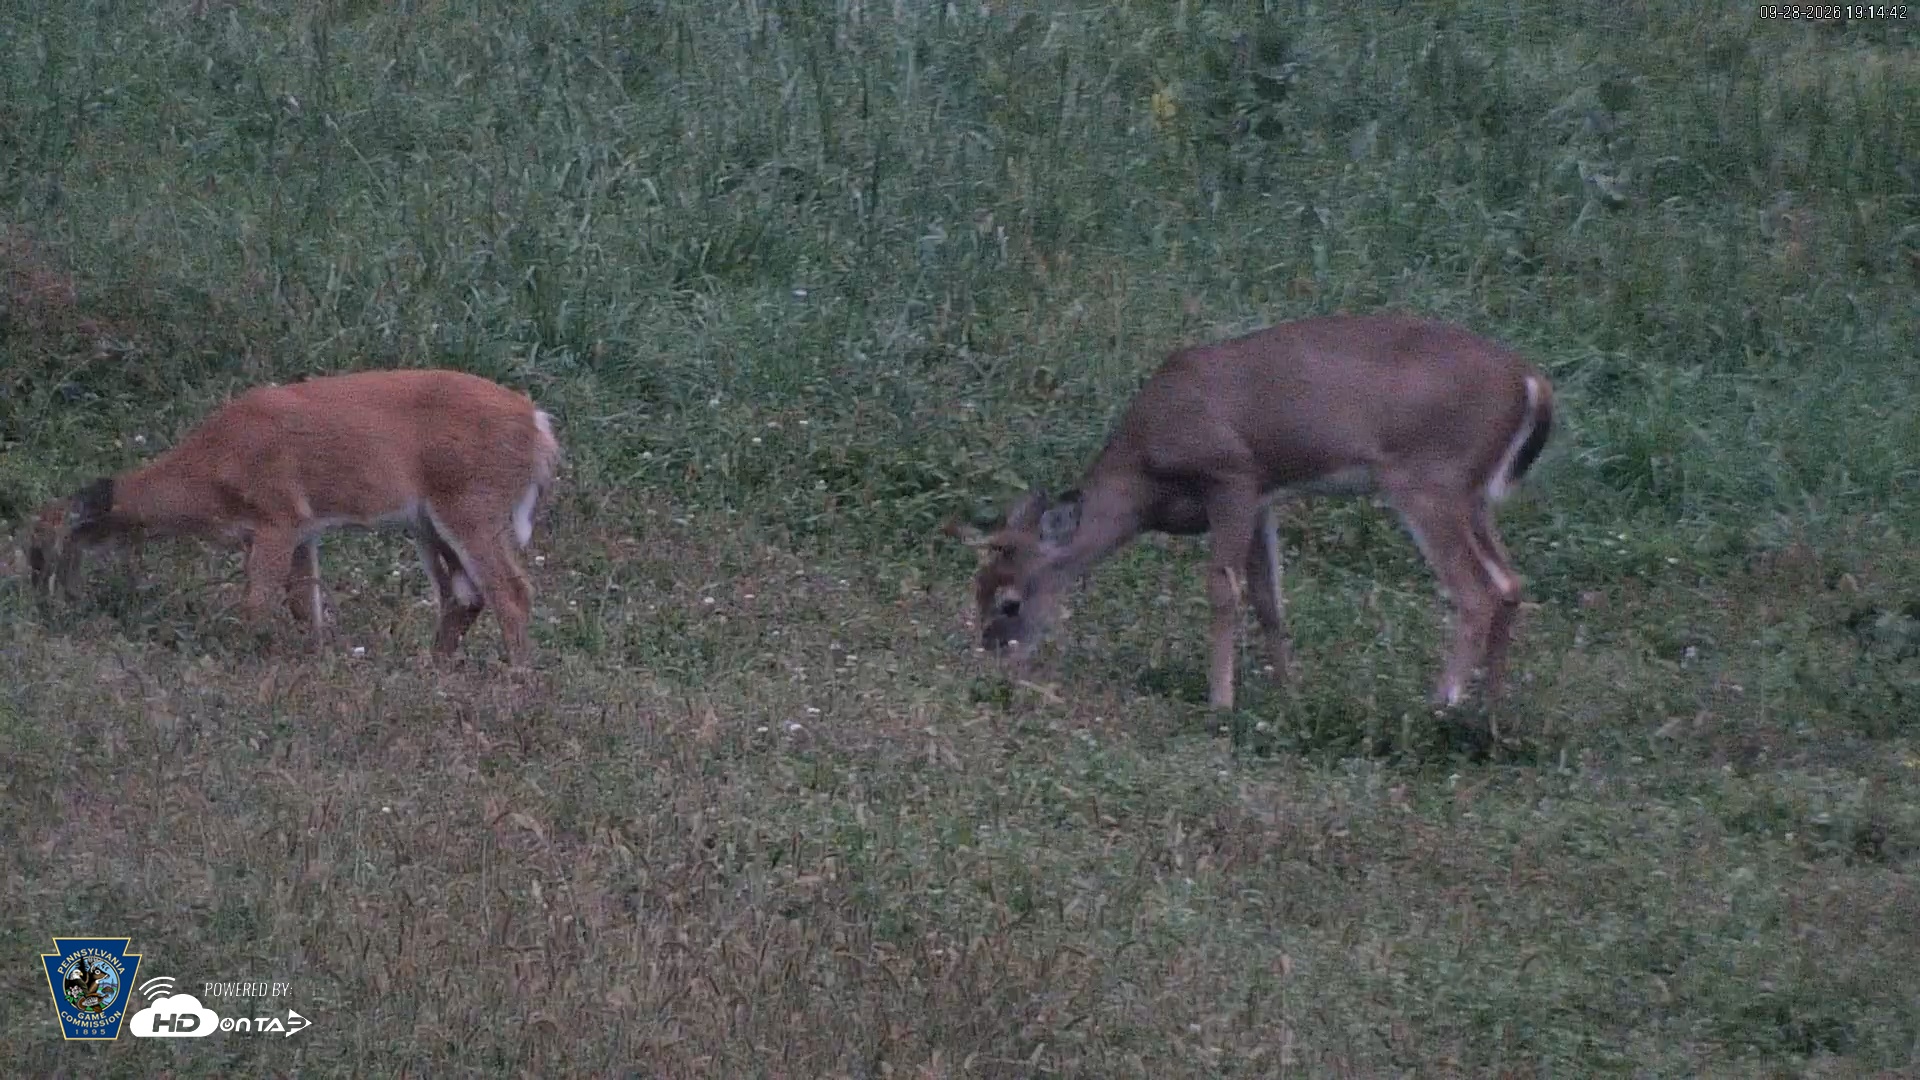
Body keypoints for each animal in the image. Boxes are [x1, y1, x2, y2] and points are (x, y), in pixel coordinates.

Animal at [24, 369, 563, 665]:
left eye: (40, 554)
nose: (44, 610)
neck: (210, 472)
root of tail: (538, 426)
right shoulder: (304, 529)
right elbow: (306, 605)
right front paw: (316, 661)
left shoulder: (276, 515)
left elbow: (257, 602)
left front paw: (245, 657)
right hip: (429, 521)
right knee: (463, 596)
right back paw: (435, 670)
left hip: (472, 502)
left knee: (510, 591)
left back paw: (518, 680)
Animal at [946, 313, 1555, 714]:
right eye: (976, 588)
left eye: (1009, 601)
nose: (993, 661)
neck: (1146, 476)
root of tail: (1532, 382)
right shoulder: (1264, 497)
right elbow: (1269, 600)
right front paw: (1288, 695)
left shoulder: (1231, 475)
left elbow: (1223, 588)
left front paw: (1221, 702)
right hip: (1473, 495)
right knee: (1511, 582)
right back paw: (1489, 716)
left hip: (1429, 480)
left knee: (1475, 590)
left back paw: (1441, 704)